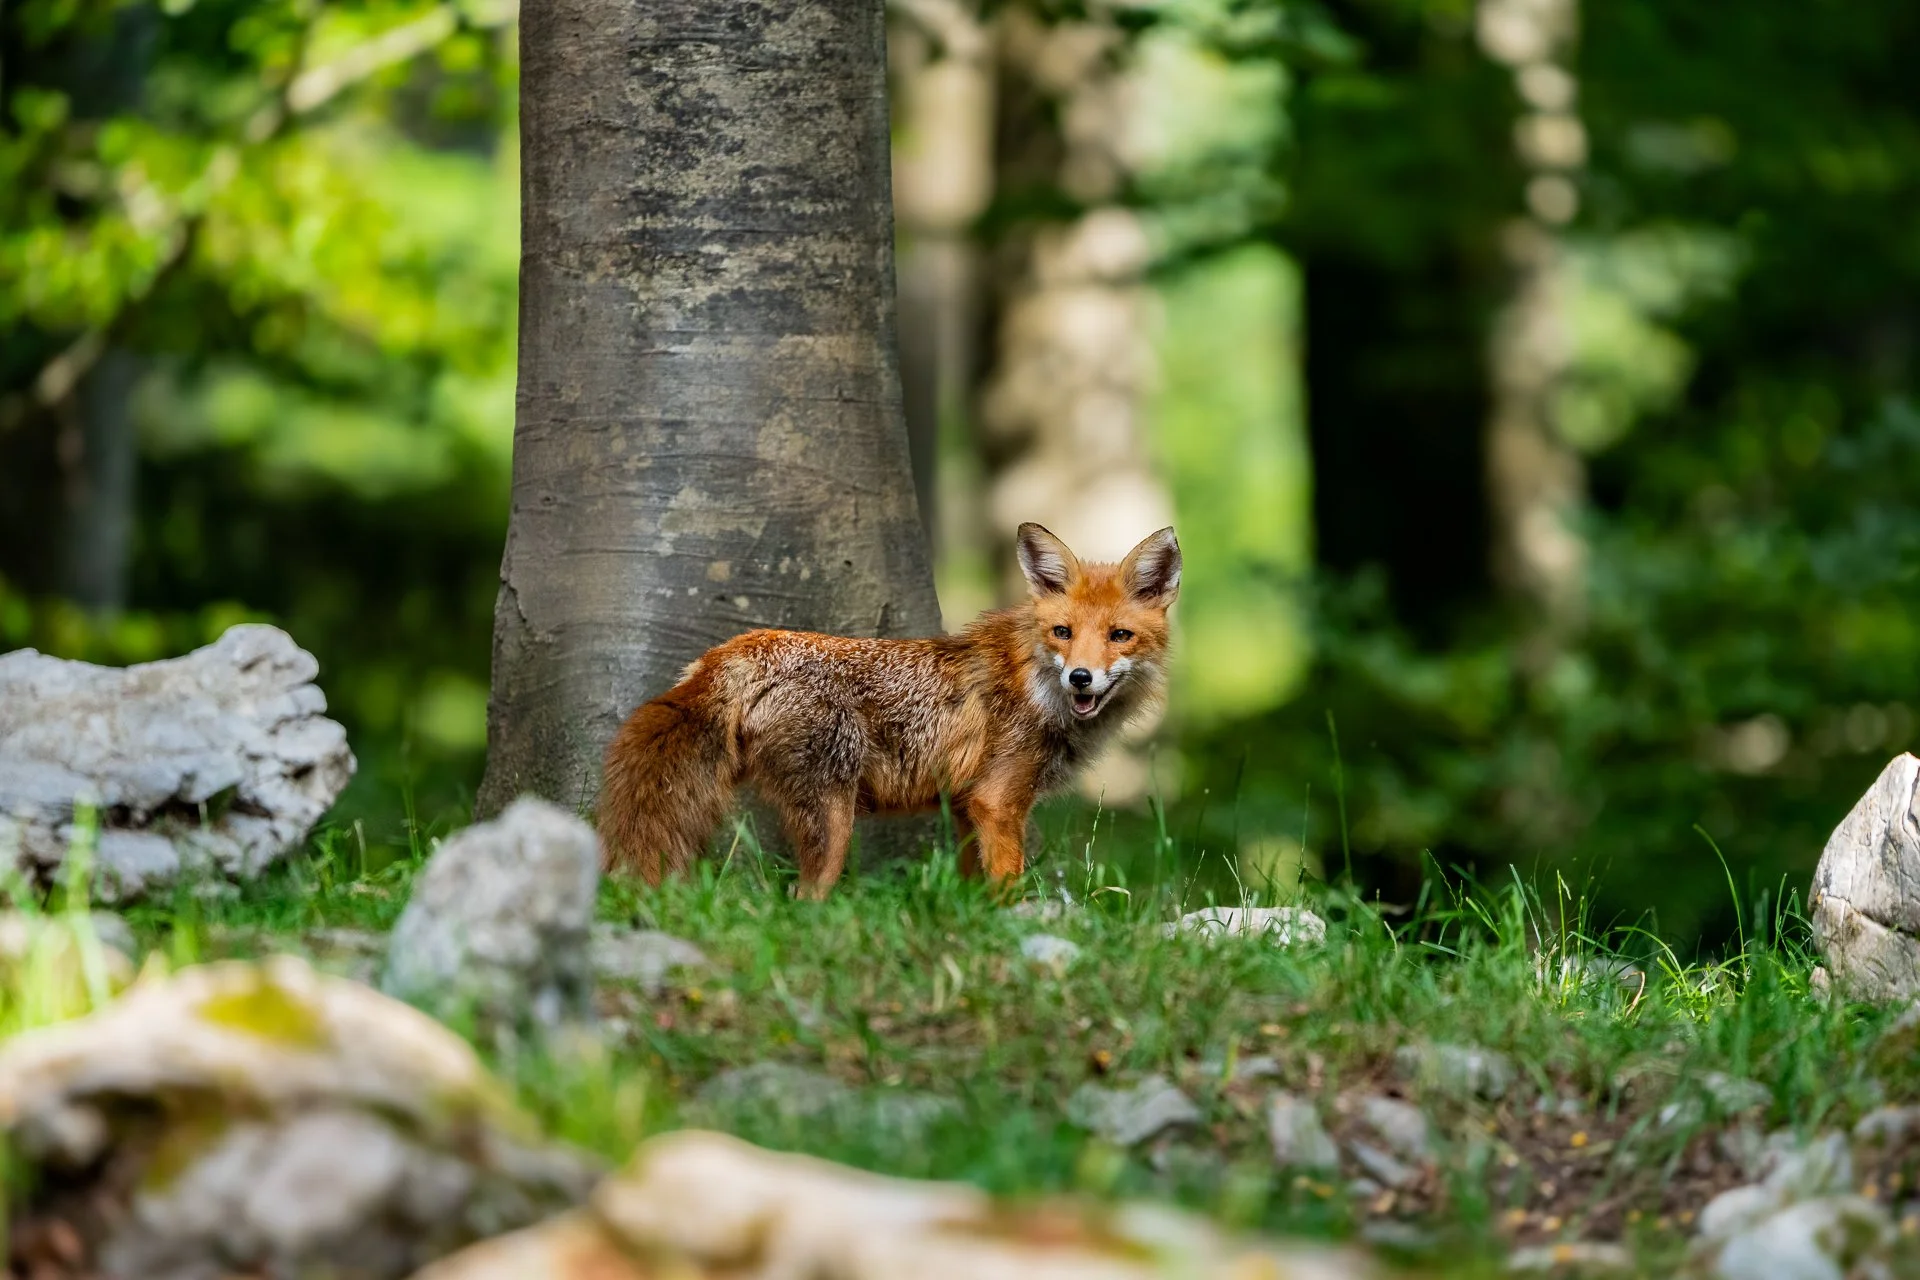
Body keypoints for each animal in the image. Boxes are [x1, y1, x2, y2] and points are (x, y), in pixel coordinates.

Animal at [598, 522, 1181, 899]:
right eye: (1063, 632)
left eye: (1119, 636)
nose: (1080, 677)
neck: (1036, 683)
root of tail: (740, 647)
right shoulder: (997, 802)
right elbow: (1008, 888)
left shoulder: (966, 807)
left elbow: (972, 889)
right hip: (835, 822)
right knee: (802, 902)